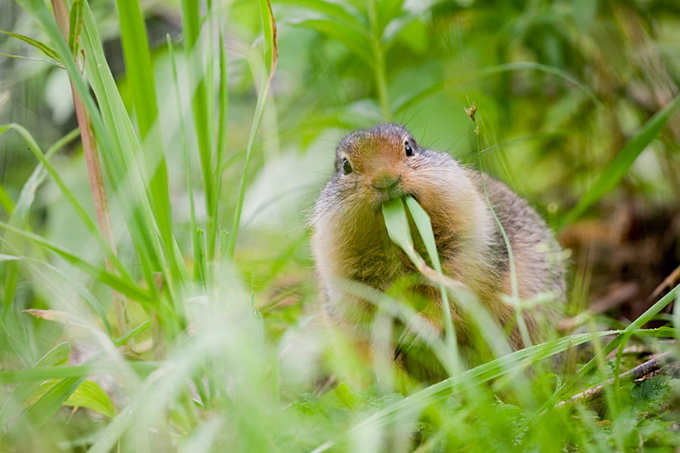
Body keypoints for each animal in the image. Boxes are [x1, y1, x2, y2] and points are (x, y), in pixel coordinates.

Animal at [310, 123, 564, 374]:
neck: (398, 243)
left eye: (409, 148)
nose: (385, 180)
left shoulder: (468, 248)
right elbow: (365, 327)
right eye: (346, 166)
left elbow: (454, 293)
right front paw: (385, 363)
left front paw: (418, 331)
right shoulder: (349, 282)